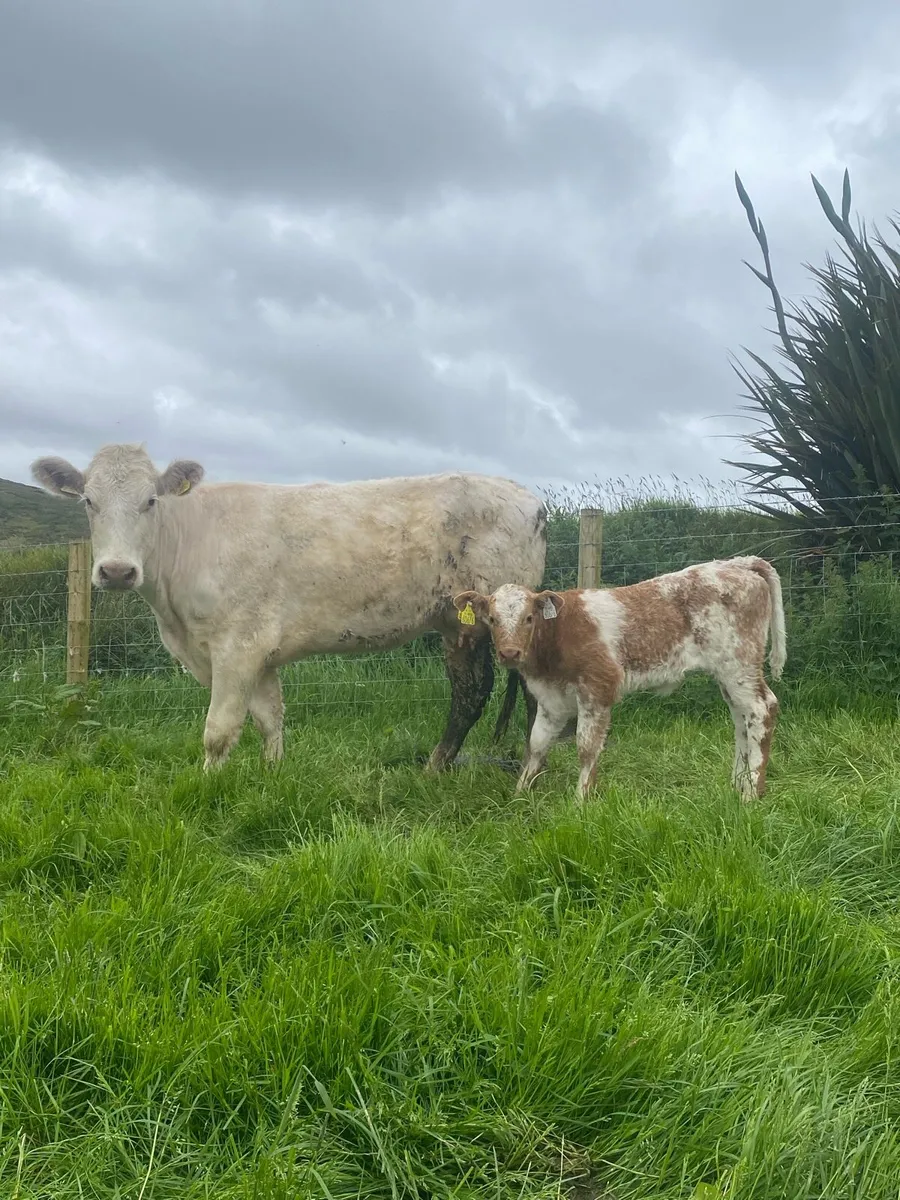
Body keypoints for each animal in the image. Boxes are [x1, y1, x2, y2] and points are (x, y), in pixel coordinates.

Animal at [32, 444, 546, 770]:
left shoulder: (238, 645)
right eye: (88, 501)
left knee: (483, 693)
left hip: (483, 620)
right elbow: (269, 718)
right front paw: (272, 776)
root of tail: (528, 497)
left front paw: (206, 789)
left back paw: (458, 768)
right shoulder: (258, 652)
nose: (117, 571)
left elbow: (219, 728)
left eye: (151, 500)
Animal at [453, 555, 786, 802]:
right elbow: (536, 745)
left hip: (738, 663)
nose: (509, 652)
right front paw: (520, 795)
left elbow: (586, 746)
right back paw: (737, 785)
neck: (557, 635)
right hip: (728, 674)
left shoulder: (597, 687)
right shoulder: (550, 699)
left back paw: (751, 794)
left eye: (529, 618)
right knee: (741, 719)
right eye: (492, 619)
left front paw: (581, 800)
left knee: (761, 709)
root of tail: (740, 563)